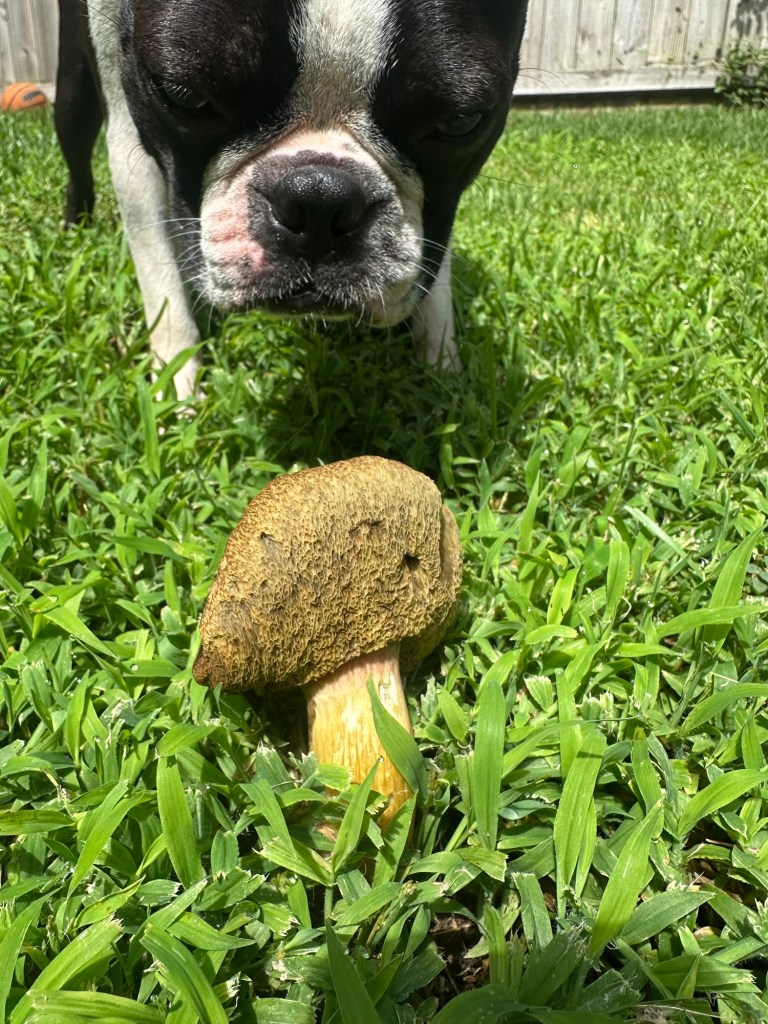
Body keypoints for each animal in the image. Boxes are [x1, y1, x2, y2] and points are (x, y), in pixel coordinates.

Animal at [55, 0, 528, 399]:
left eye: (460, 122)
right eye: (183, 95)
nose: (319, 199)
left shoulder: (441, 210)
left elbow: (435, 261)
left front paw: (443, 369)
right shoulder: (132, 149)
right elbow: (162, 281)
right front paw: (176, 384)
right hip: (73, 95)